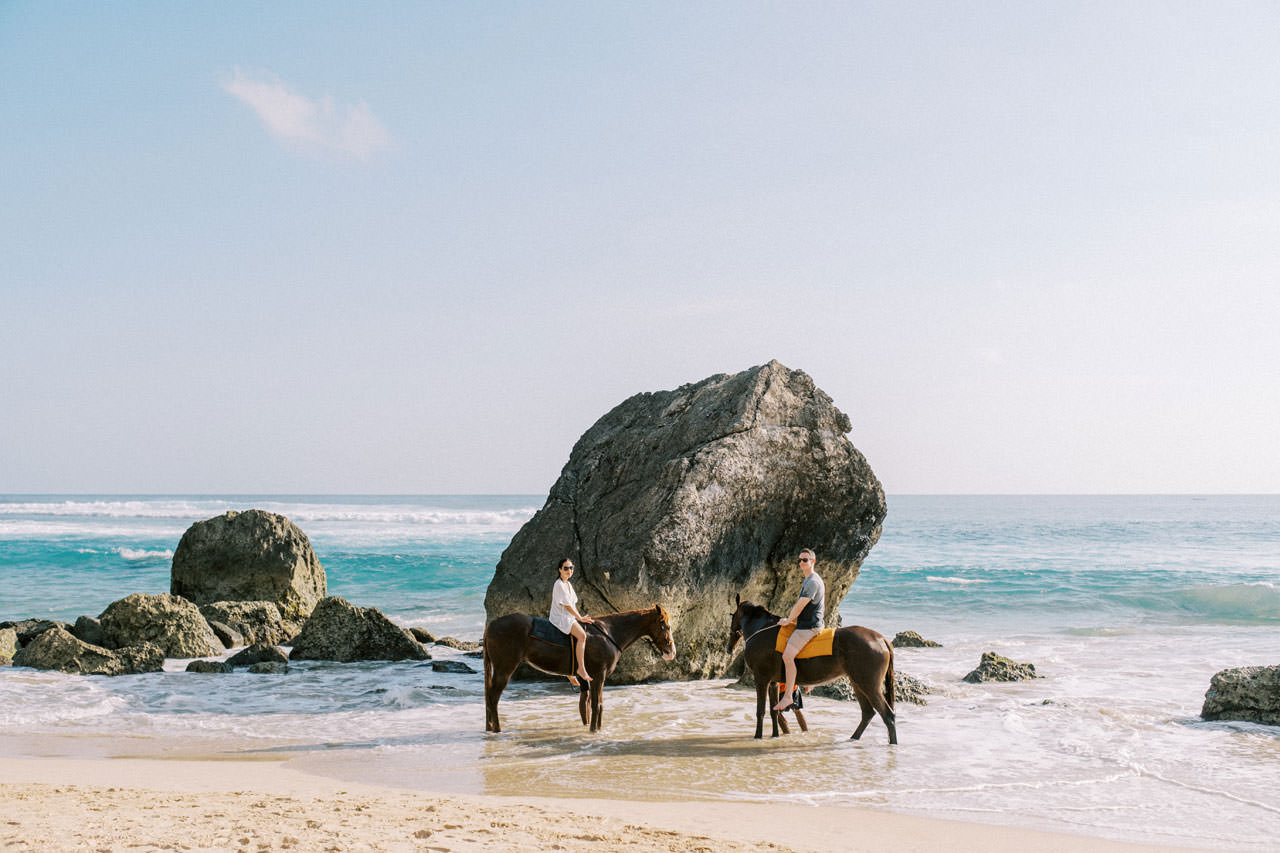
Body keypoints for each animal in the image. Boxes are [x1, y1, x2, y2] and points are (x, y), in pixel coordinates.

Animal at [481, 604, 680, 732]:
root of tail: (491, 625)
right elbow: (596, 704)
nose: (671, 652)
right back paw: (497, 729)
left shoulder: (598, 678)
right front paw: (594, 731)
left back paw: (490, 727)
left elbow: (597, 704)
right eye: (665, 625)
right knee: (493, 698)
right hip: (504, 669)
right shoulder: (598, 675)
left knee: (489, 698)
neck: (609, 632)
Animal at [732, 594, 901, 742]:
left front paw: (757, 736)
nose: (731, 643)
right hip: (857, 683)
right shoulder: (773, 682)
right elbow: (774, 712)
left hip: (869, 685)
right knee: (868, 713)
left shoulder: (761, 678)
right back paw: (854, 738)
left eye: (732, 615)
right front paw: (775, 735)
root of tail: (881, 639)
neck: (762, 630)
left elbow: (761, 711)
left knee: (888, 715)